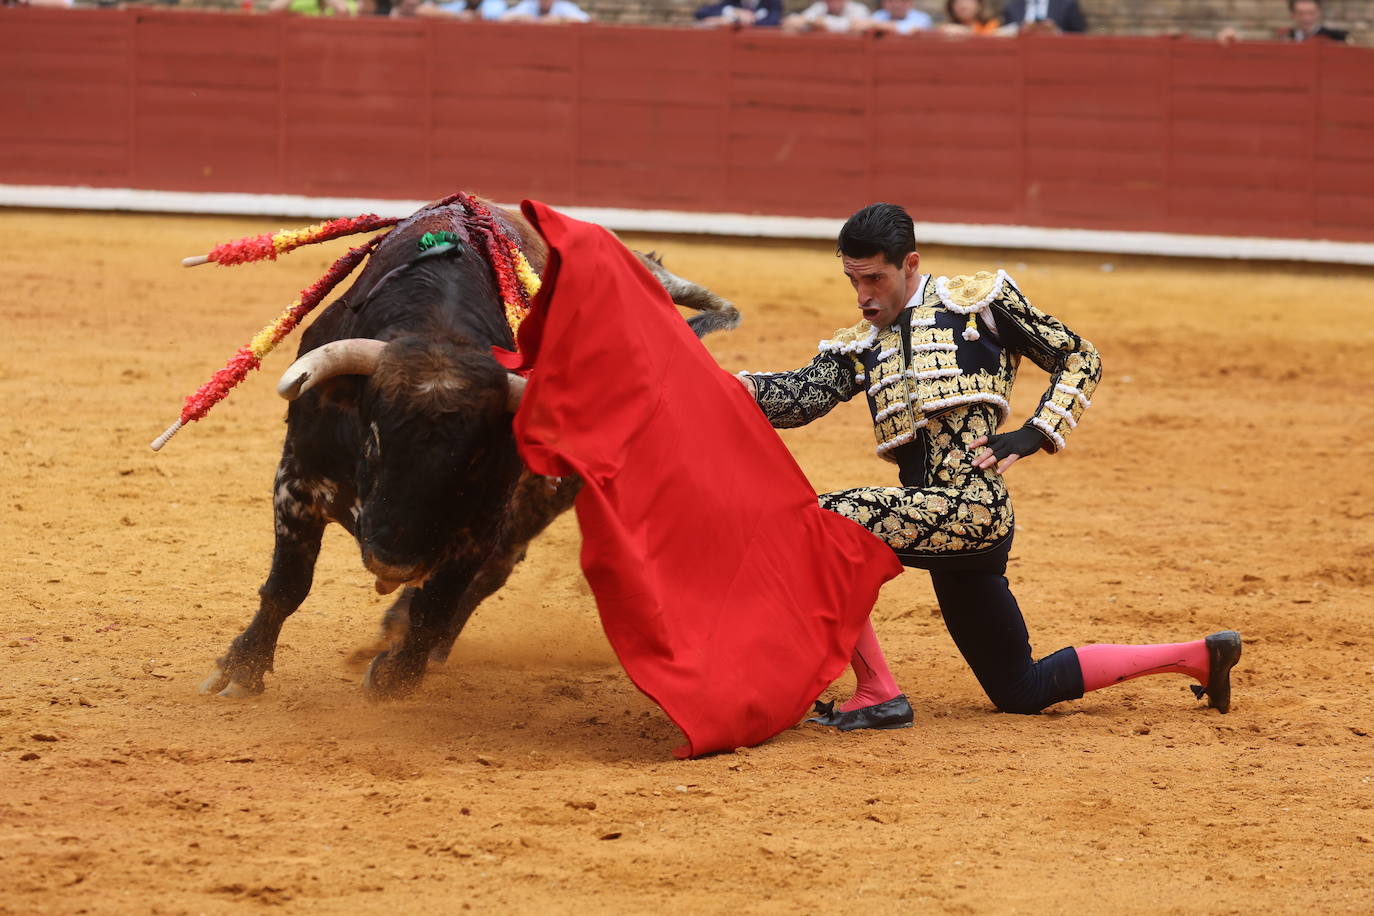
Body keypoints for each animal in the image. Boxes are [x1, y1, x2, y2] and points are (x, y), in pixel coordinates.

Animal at [197, 199, 736, 703]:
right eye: (372, 440)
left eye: (472, 459)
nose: (393, 563)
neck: (441, 333)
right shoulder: (298, 480)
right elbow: (288, 583)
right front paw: (241, 672)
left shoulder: (479, 523)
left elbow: (439, 600)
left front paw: (395, 678)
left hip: (544, 497)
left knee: (495, 568)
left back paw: (416, 643)